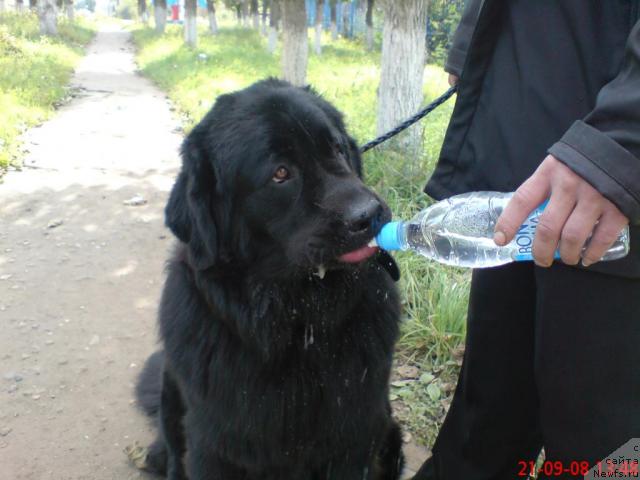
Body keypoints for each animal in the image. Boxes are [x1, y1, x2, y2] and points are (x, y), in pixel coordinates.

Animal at [137, 79, 402, 480]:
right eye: (280, 174)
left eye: (337, 148)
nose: (368, 214)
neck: (295, 325)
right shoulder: (213, 446)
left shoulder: (352, 439)